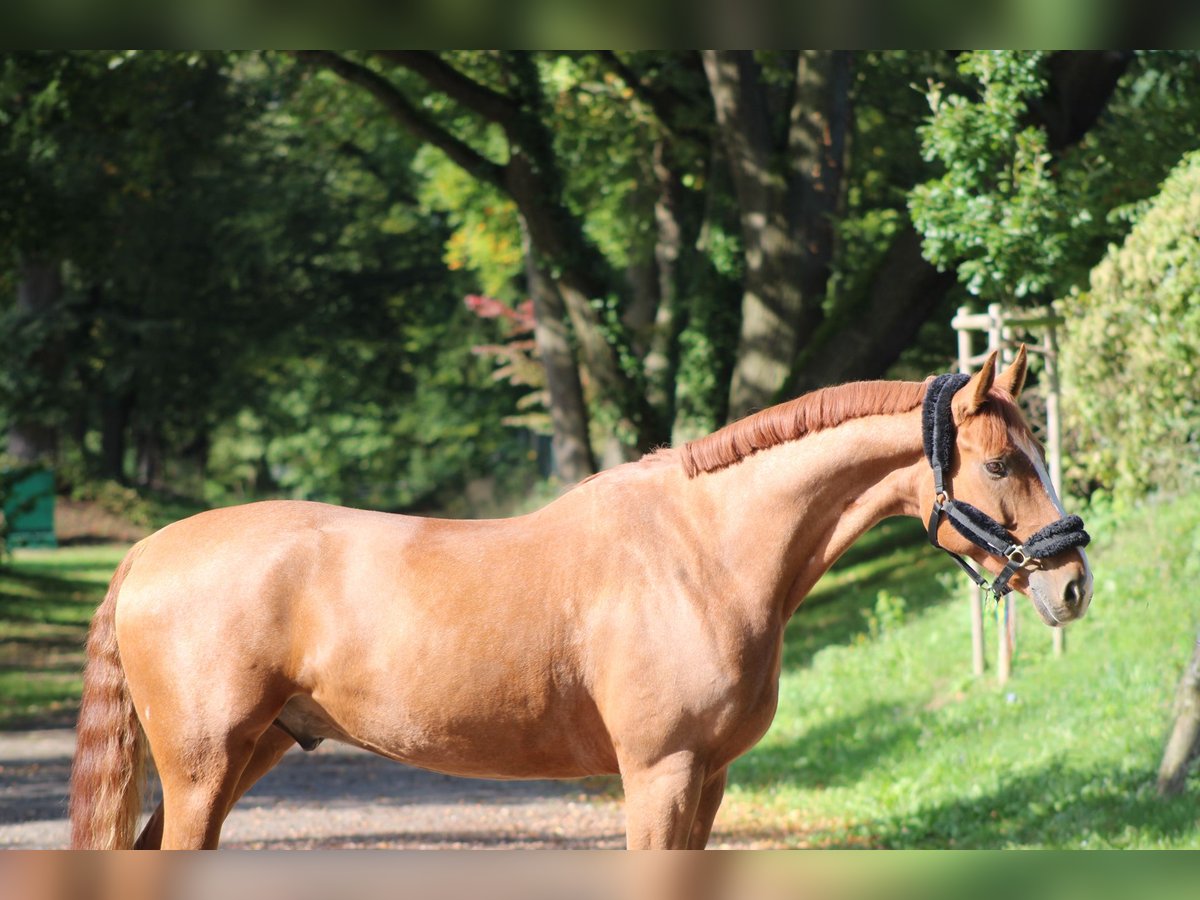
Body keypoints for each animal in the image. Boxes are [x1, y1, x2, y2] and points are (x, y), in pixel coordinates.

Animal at [70, 348, 1094, 849]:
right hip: (205, 766)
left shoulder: (709, 779)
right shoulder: (660, 774)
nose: (1072, 581)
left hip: (250, 756)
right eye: (1001, 463)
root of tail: (148, 553)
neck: (704, 553)